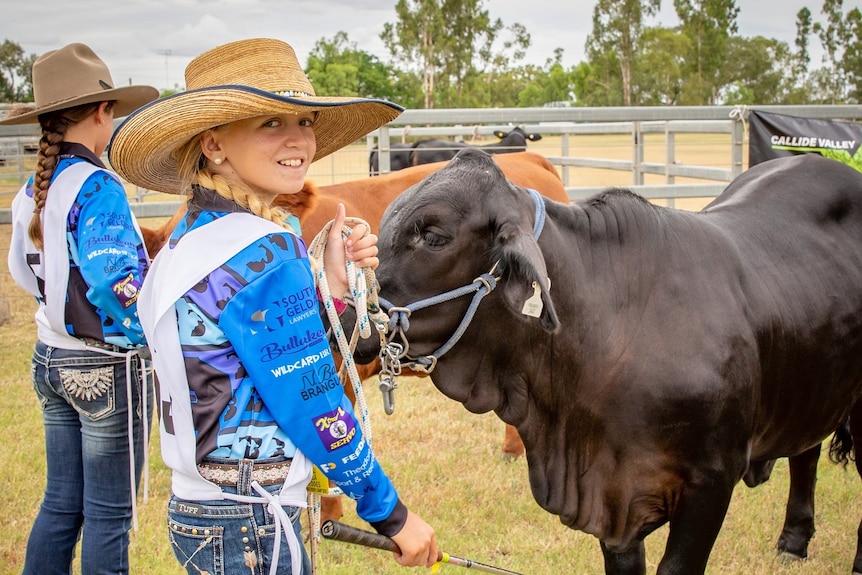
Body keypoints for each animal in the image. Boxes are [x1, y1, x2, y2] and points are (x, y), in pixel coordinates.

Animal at [358, 150, 862, 575]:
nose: (347, 312)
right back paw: (793, 541)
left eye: (433, 237)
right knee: (806, 452)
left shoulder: (712, 481)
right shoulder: (612, 498)